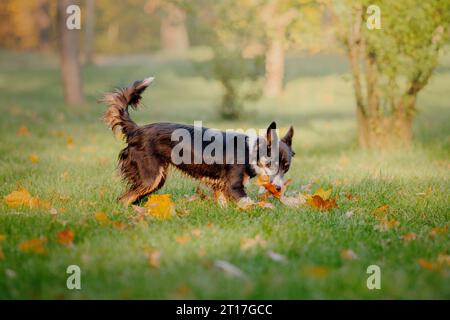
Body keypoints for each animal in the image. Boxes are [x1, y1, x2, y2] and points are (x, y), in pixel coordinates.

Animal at [100, 78, 294, 208]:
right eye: (270, 164)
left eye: (286, 167)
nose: (278, 188)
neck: (250, 152)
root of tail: (136, 129)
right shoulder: (234, 186)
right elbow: (250, 203)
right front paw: (267, 207)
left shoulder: (220, 186)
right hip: (150, 178)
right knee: (123, 199)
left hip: (156, 179)